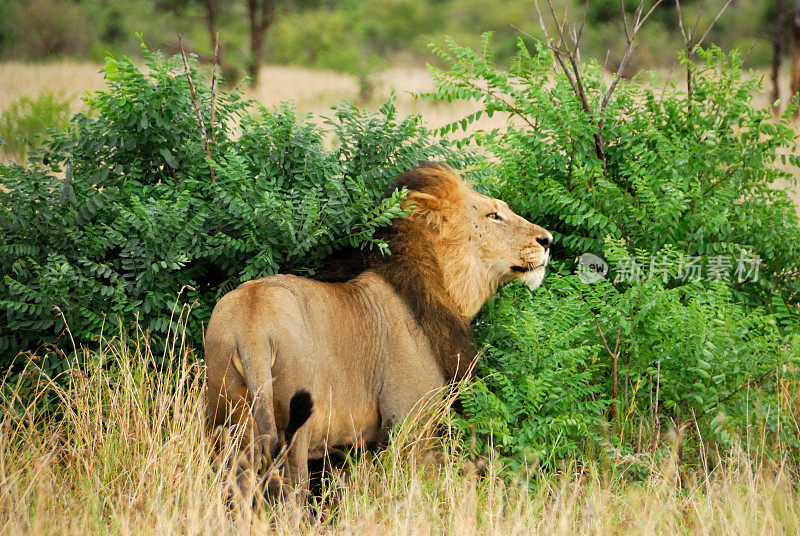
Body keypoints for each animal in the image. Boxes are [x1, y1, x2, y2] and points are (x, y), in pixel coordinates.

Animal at [203, 160, 552, 494]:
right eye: (494, 215)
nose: (547, 240)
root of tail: (252, 328)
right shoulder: (409, 422)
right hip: (295, 427)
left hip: (226, 415)